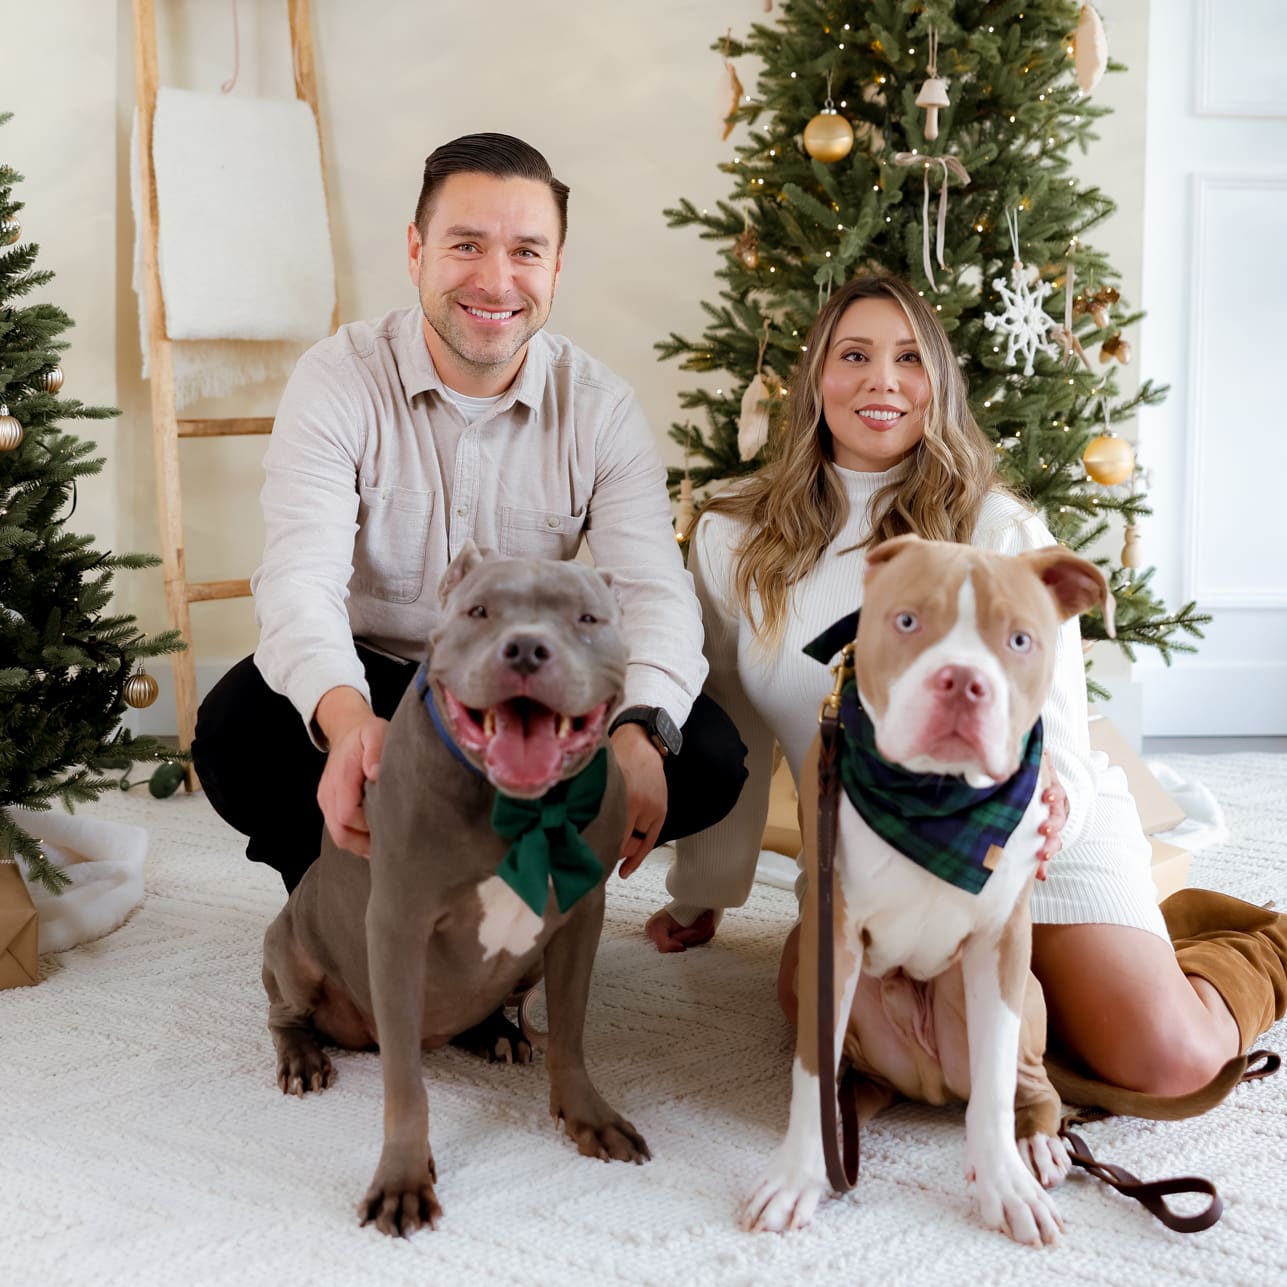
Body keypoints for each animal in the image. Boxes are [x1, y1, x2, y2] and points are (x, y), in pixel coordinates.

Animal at [261, 542, 648, 1236]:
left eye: (587, 618)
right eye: (479, 612)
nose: (527, 649)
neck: (517, 805)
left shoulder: (581, 921)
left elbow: (570, 1036)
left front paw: (589, 1116)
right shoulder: (397, 929)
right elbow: (405, 1088)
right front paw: (402, 1180)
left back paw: (498, 1033)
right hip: (294, 955)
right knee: (286, 1014)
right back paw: (303, 1059)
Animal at [744, 533, 1114, 1246]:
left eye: (1020, 640)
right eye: (908, 621)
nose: (962, 681)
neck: (937, 802)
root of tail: (927, 1086)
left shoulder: (1003, 943)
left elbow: (994, 1088)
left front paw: (1005, 1187)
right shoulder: (832, 935)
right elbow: (811, 1071)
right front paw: (798, 1175)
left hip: (1012, 995)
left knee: (1034, 1087)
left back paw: (1038, 1145)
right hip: (808, 965)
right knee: (845, 1080)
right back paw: (844, 1123)